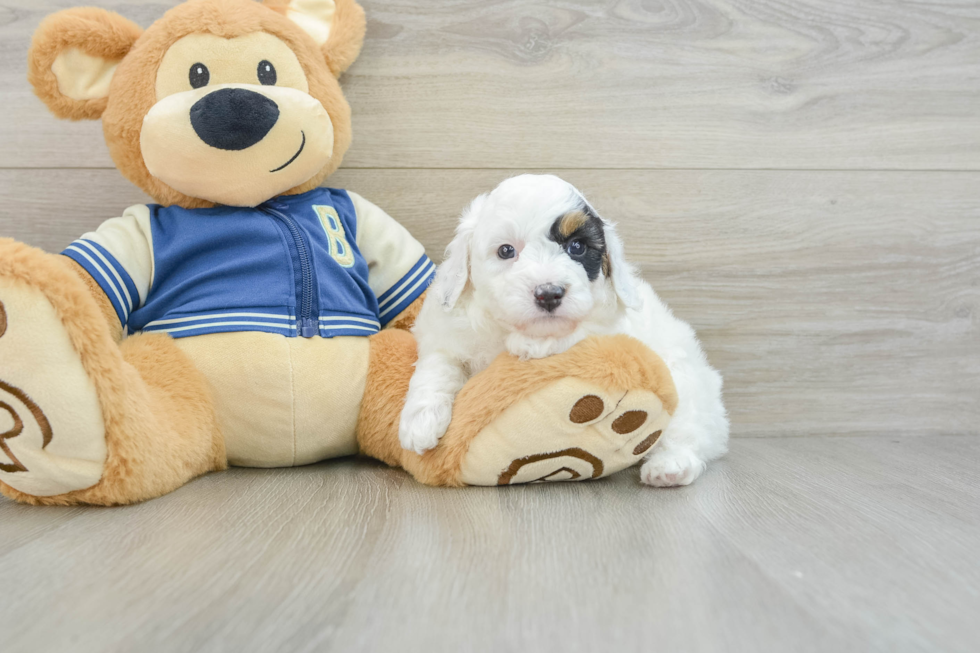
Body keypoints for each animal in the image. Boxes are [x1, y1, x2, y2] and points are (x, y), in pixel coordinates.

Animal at [398, 173, 728, 484]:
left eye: (577, 247)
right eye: (506, 251)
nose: (549, 294)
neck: (507, 328)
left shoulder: (608, 327)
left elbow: (579, 331)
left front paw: (533, 345)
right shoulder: (446, 332)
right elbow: (437, 365)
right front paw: (420, 422)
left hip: (687, 383)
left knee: (690, 432)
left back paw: (670, 467)